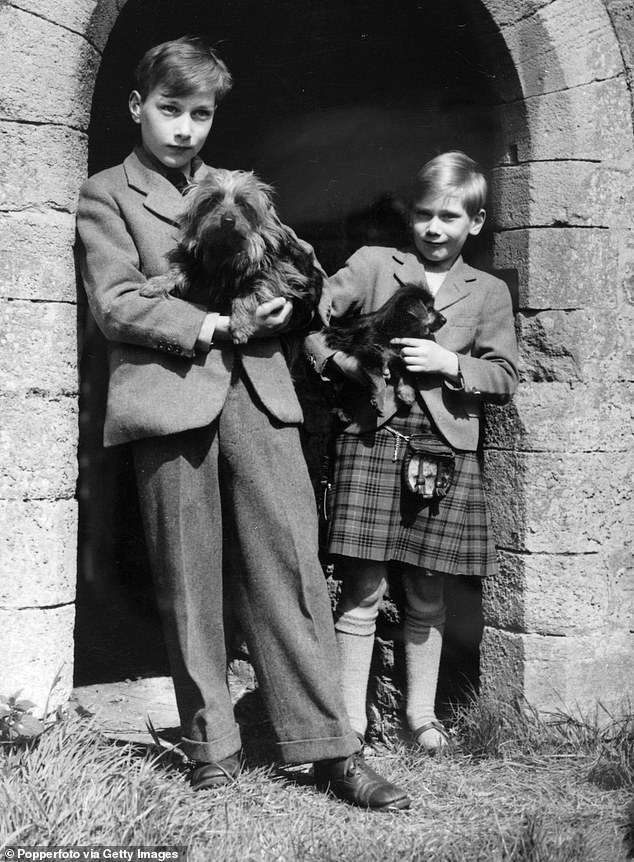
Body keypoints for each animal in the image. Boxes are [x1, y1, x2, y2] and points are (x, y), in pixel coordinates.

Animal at [141, 169, 324, 344]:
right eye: (212, 200)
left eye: (243, 204)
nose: (228, 220)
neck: (226, 247)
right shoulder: (197, 261)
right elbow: (178, 270)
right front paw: (157, 284)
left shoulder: (282, 274)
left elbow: (248, 293)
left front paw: (241, 324)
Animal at [326, 284, 444, 416]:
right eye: (429, 309)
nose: (445, 320)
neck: (392, 327)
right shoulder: (370, 354)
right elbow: (380, 380)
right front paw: (379, 401)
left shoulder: (396, 356)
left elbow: (406, 374)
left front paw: (407, 393)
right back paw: (343, 412)